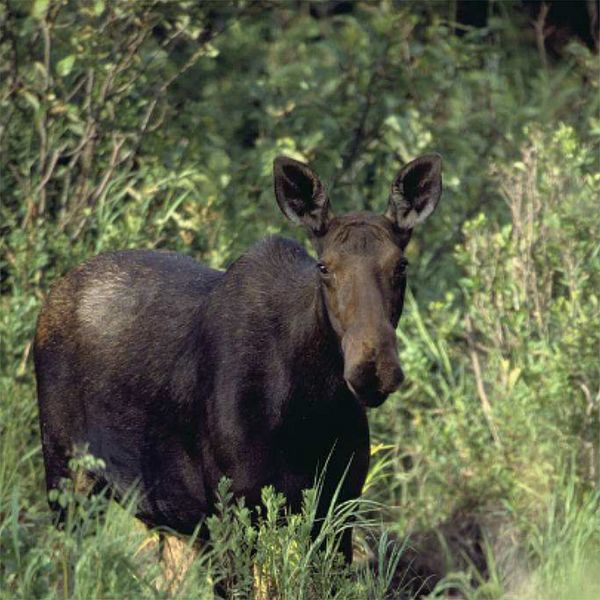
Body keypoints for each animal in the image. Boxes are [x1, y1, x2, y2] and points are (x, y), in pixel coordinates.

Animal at [35, 151, 442, 564]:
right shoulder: (233, 507)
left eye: (401, 264)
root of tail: (54, 294)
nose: (373, 367)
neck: (308, 408)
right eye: (324, 266)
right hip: (67, 474)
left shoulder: (339, 507)